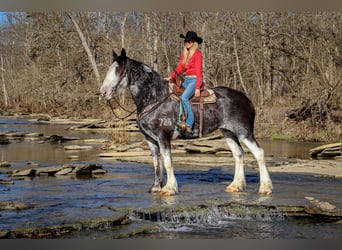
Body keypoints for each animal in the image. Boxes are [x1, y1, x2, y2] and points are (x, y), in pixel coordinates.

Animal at [99, 48, 272, 196]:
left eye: (118, 70)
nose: (103, 92)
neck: (155, 98)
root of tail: (246, 99)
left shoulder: (163, 137)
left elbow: (167, 162)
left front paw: (169, 188)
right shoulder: (150, 139)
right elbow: (156, 162)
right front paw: (156, 187)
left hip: (244, 132)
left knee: (259, 153)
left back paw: (265, 188)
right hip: (228, 132)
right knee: (238, 154)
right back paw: (235, 186)